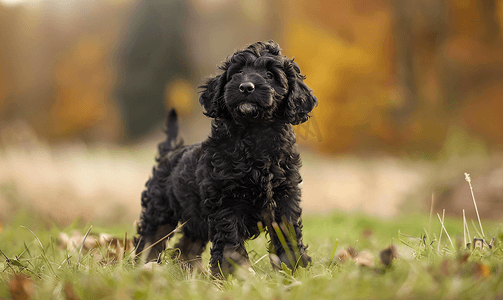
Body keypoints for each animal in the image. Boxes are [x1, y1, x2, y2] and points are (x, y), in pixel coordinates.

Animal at [136, 40, 318, 276]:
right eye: (237, 73)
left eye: (270, 75)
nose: (246, 87)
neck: (253, 134)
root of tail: (169, 153)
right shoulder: (225, 200)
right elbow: (230, 237)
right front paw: (234, 273)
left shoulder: (284, 196)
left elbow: (288, 231)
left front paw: (293, 267)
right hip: (160, 210)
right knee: (152, 238)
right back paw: (143, 265)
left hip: (194, 218)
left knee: (186, 246)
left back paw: (189, 272)